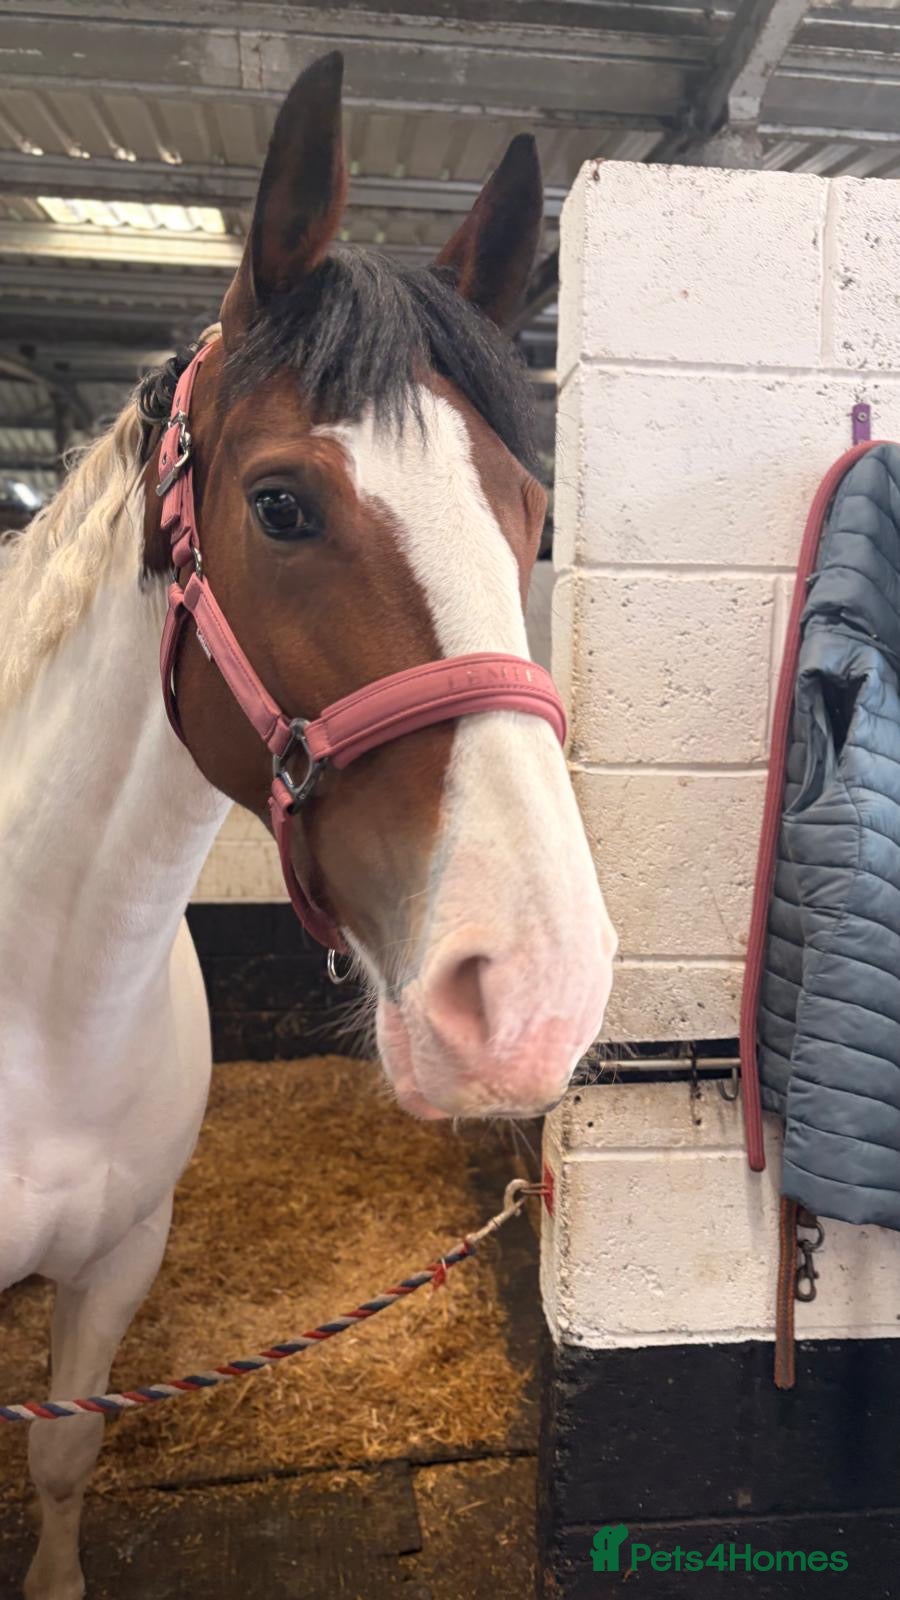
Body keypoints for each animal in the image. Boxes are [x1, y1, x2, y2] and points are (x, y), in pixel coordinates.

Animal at [0, 51, 616, 1599]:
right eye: (280, 505)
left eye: (533, 516)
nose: (536, 993)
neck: (40, 1008)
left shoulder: (120, 1257)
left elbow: (63, 1455)